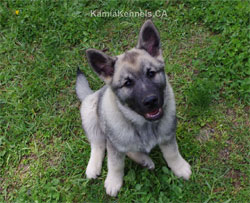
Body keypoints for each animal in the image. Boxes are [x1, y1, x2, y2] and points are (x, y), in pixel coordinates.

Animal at [75, 19, 190, 196]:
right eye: (128, 83)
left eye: (151, 73)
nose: (151, 101)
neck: (142, 123)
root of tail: (92, 93)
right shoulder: (114, 146)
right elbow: (115, 164)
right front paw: (113, 181)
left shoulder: (167, 136)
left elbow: (172, 153)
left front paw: (180, 167)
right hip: (90, 116)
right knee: (98, 144)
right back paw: (93, 166)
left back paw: (144, 160)